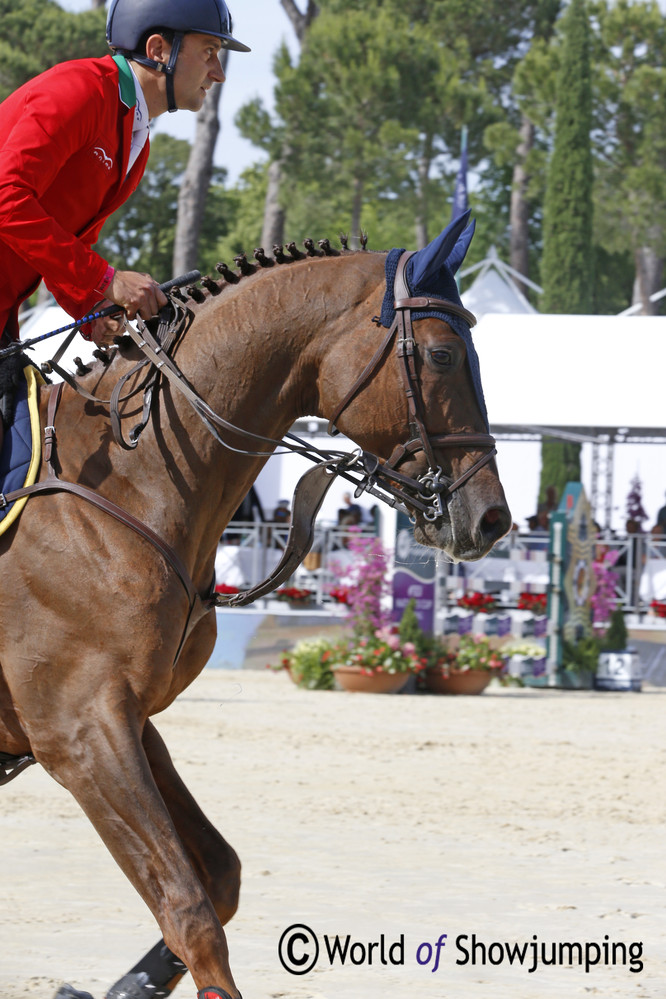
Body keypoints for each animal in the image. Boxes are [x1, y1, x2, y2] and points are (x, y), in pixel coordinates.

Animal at [0, 219, 508, 999]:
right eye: (444, 354)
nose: (492, 519)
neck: (126, 482)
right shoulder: (78, 730)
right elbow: (189, 908)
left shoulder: (127, 718)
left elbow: (220, 877)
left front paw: (127, 986)